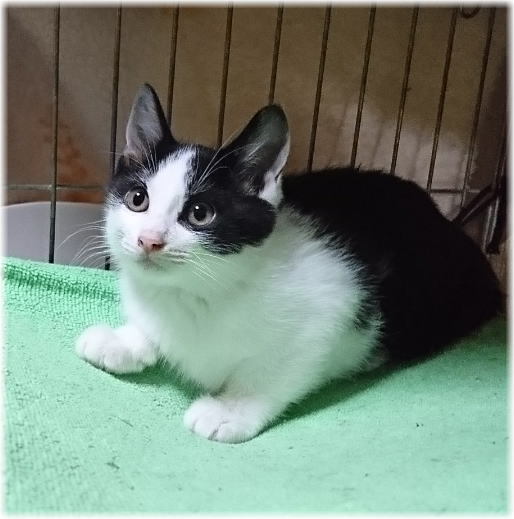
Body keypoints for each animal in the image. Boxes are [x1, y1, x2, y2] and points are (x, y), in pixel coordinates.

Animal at [76, 83, 502, 443]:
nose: (149, 240)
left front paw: (231, 409)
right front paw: (124, 340)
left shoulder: (333, 306)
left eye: (200, 214)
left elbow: (273, 369)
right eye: (137, 199)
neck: (197, 292)